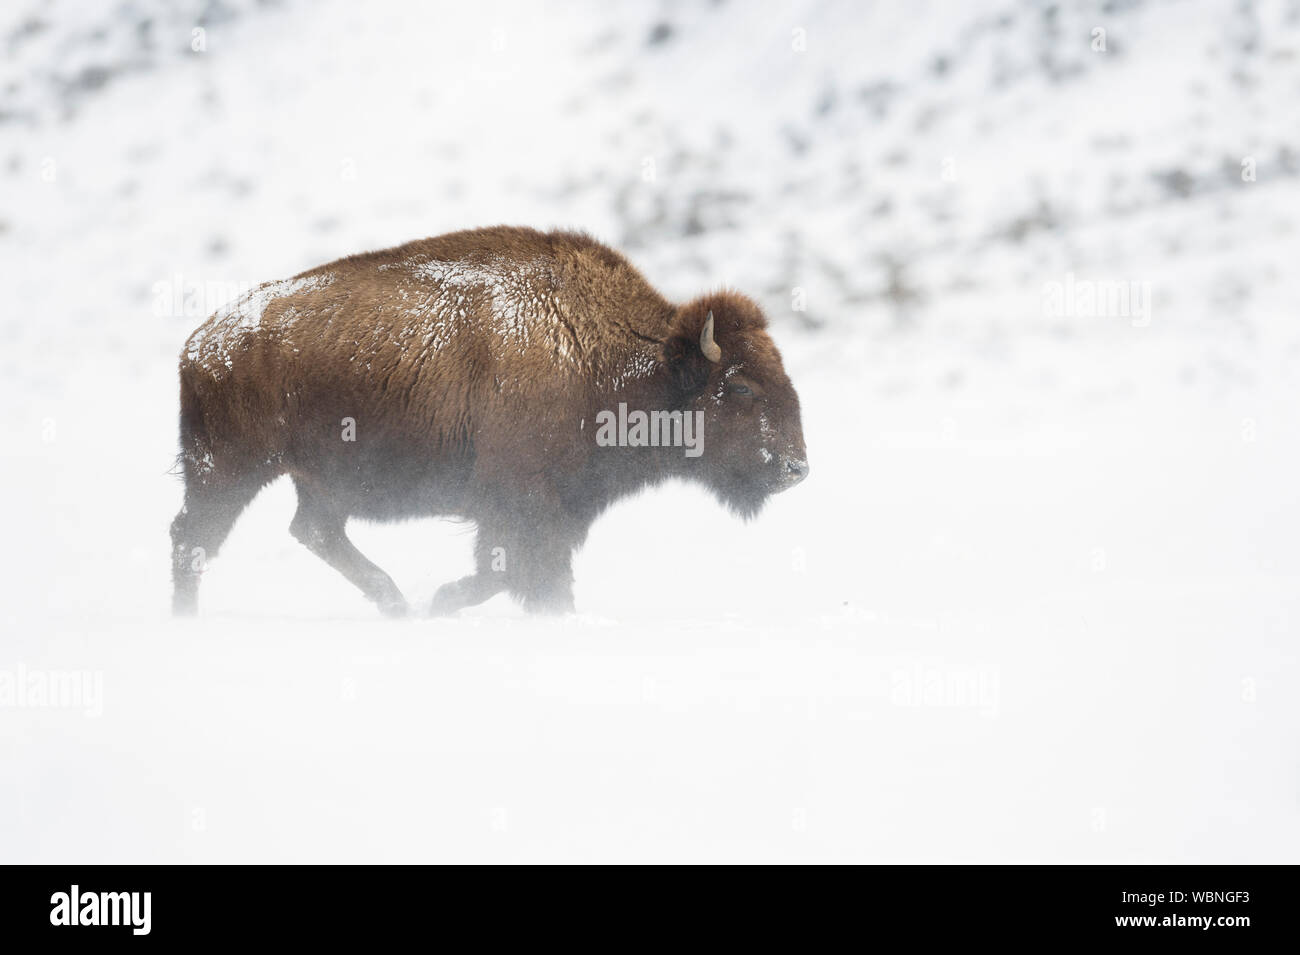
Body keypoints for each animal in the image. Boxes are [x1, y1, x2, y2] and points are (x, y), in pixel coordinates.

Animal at [169, 224, 806, 615]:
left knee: (313, 531)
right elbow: (526, 575)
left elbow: (513, 575)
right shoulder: (523, 504)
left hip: (315, 480)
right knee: (192, 538)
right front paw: (448, 601)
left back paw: (397, 604)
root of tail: (200, 343)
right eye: (742, 387)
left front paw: (439, 602)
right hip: (230, 468)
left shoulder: (556, 510)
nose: (796, 468)